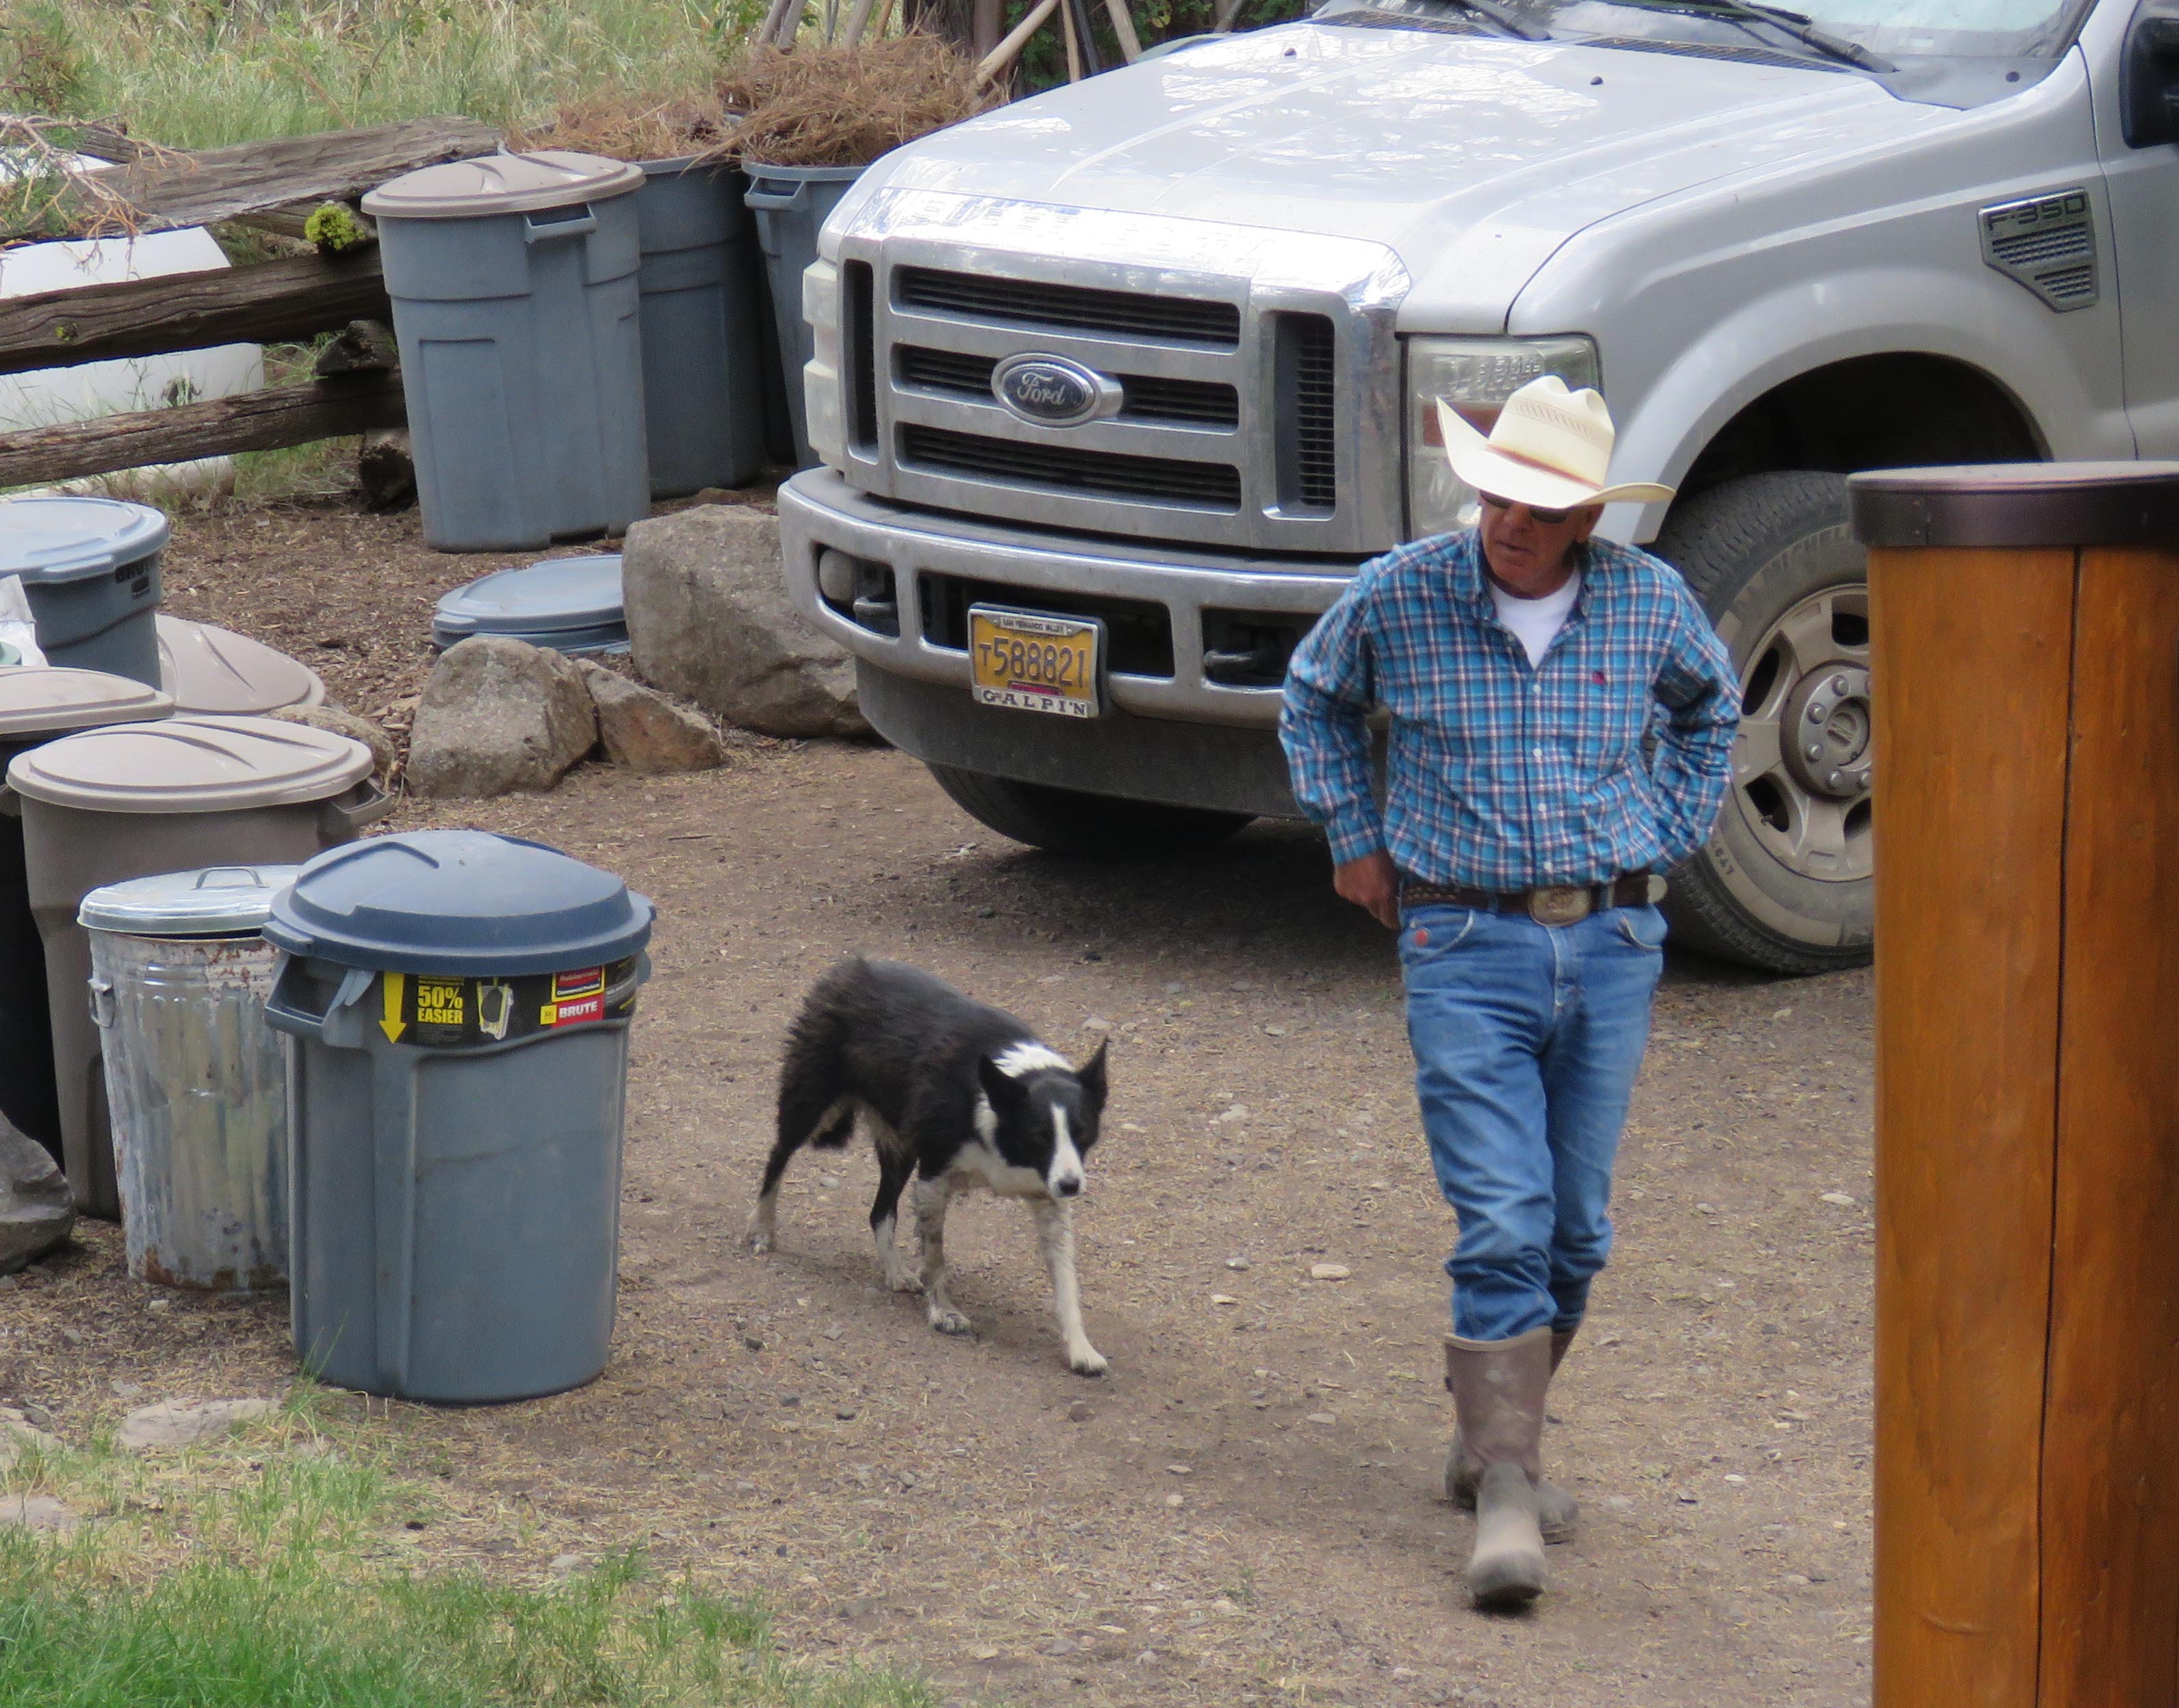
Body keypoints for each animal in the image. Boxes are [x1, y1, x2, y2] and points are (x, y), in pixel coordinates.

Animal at [758, 958, 1116, 1377]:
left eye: (1083, 1132)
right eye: (1039, 1136)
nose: (1073, 1186)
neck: (995, 1106)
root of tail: (851, 967)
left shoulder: (1049, 1197)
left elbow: (1066, 1283)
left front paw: (1080, 1348)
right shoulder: (932, 1180)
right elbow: (936, 1256)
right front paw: (943, 1312)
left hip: (900, 1150)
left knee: (880, 1211)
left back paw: (895, 1271)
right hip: (813, 1108)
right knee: (776, 1159)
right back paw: (761, 1230)